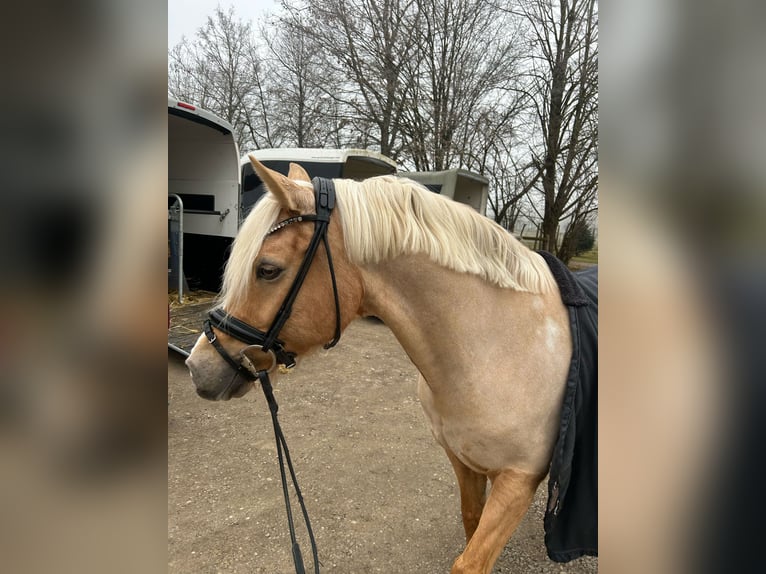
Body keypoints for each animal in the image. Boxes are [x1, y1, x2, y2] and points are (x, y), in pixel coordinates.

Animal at [186, 156, 596, 573]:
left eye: (267, 270)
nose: (198, 366)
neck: (499, 347)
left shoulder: (518, 481)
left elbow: (470, 562)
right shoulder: (464, 463)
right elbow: (470, 524)